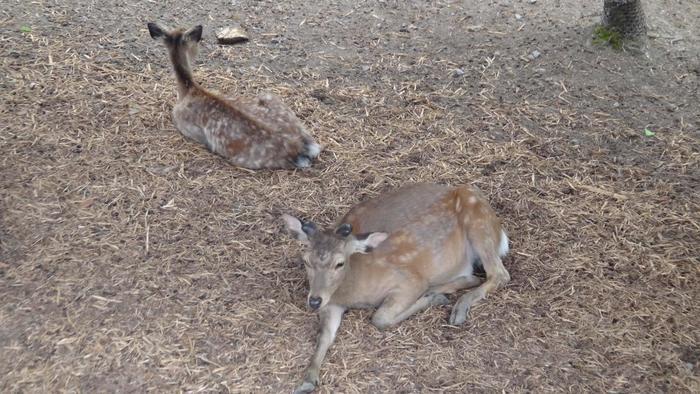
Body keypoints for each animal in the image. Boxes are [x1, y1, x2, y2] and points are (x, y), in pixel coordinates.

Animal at [282, 183, 512, 392]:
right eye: (306, 260)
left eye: (339, 263)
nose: (314, 301)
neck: (353, 290)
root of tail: (500, 231)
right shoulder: (332, 304)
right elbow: (324, 336)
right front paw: (307, 380)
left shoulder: (409, 279)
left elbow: (380, 319)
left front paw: (434, 299)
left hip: (477, 219)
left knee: (499, 273)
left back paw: (457, 307)